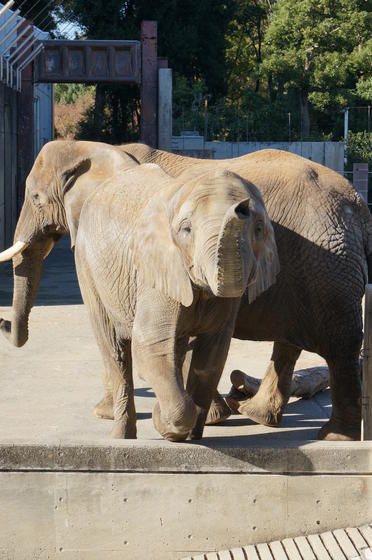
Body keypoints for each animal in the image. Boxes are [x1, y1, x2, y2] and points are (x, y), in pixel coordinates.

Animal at [0, 140, 280, 442]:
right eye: (186, 230)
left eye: (259, 229)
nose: (2, 322)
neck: (90, 150)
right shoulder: (147, 268)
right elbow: (150, 346)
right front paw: (167, 424)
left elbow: (212, 353)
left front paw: (188, 433)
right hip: (92, 268)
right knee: (115, 349)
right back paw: (121, 436)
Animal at [112, 144, 372, 442]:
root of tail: (359, 206)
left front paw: (209, 420)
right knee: (296, 342)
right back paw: (257, 414)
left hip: (329, 270)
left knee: (339, 346)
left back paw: (333, 436)